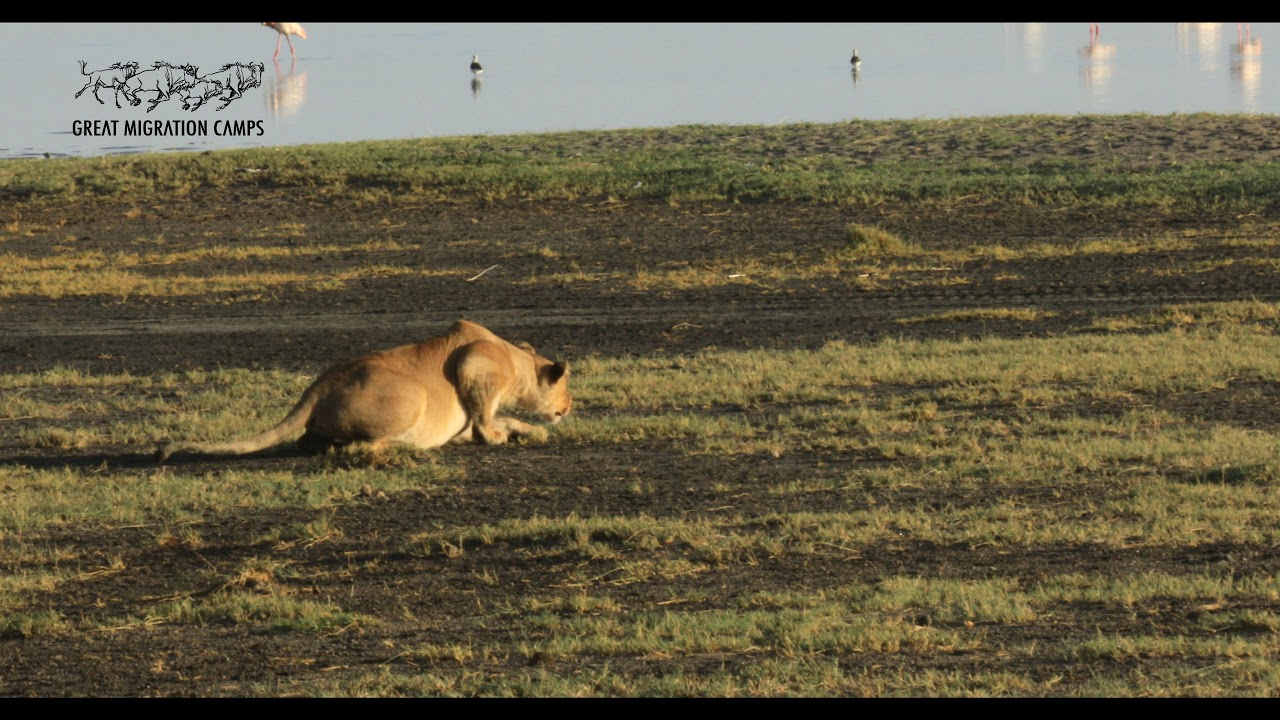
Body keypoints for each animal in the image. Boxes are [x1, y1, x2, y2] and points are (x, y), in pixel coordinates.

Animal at [155, 319, 571, 462]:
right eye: (566, 387)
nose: (569, 406)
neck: (515, 360)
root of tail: (320, 384)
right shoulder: (473, 363)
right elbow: (488, 427)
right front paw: (504, 437)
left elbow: (509, 419)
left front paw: (532, 432)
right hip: (415, 396)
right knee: (360, 447)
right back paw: (407, 446)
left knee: (310, 442)